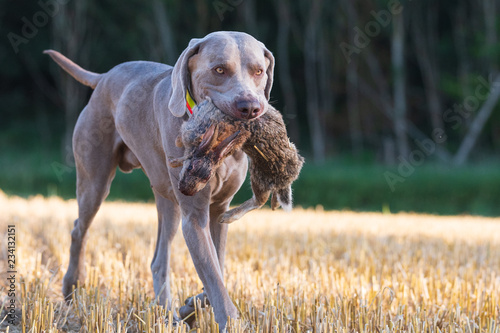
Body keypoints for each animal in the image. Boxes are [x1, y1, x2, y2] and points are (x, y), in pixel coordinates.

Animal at [44, 31, 274, 330]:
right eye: (219, 70)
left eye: (259, 71)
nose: (250, 107)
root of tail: (104, 76)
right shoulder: (194, 217)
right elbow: (213, 275)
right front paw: (230, 323)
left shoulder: (220, 211)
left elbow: (217, 270)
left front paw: (191, 306)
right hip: (94, 181)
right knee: (78, 229)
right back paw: (72, 287)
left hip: (168, 201)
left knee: (158, 260)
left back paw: (167, 314)